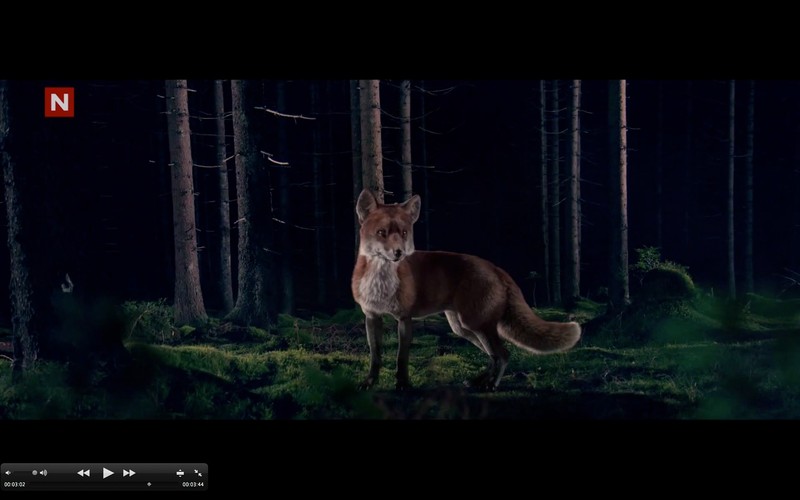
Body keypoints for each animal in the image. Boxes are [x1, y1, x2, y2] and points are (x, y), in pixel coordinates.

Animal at [351, 189, 581, 391]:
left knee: (503, 354)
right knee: (494, 355)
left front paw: (402, 385)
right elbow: (375, 356)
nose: (399, 252)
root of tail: (495, 267)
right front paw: (369, 383)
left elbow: (401, 358)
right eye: (382, 233)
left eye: (404, 233)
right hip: (463, 328)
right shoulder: (372, 316)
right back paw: (479, 381)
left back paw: (490, 385)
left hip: (476, 323)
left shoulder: (404, 318)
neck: (380, 283)